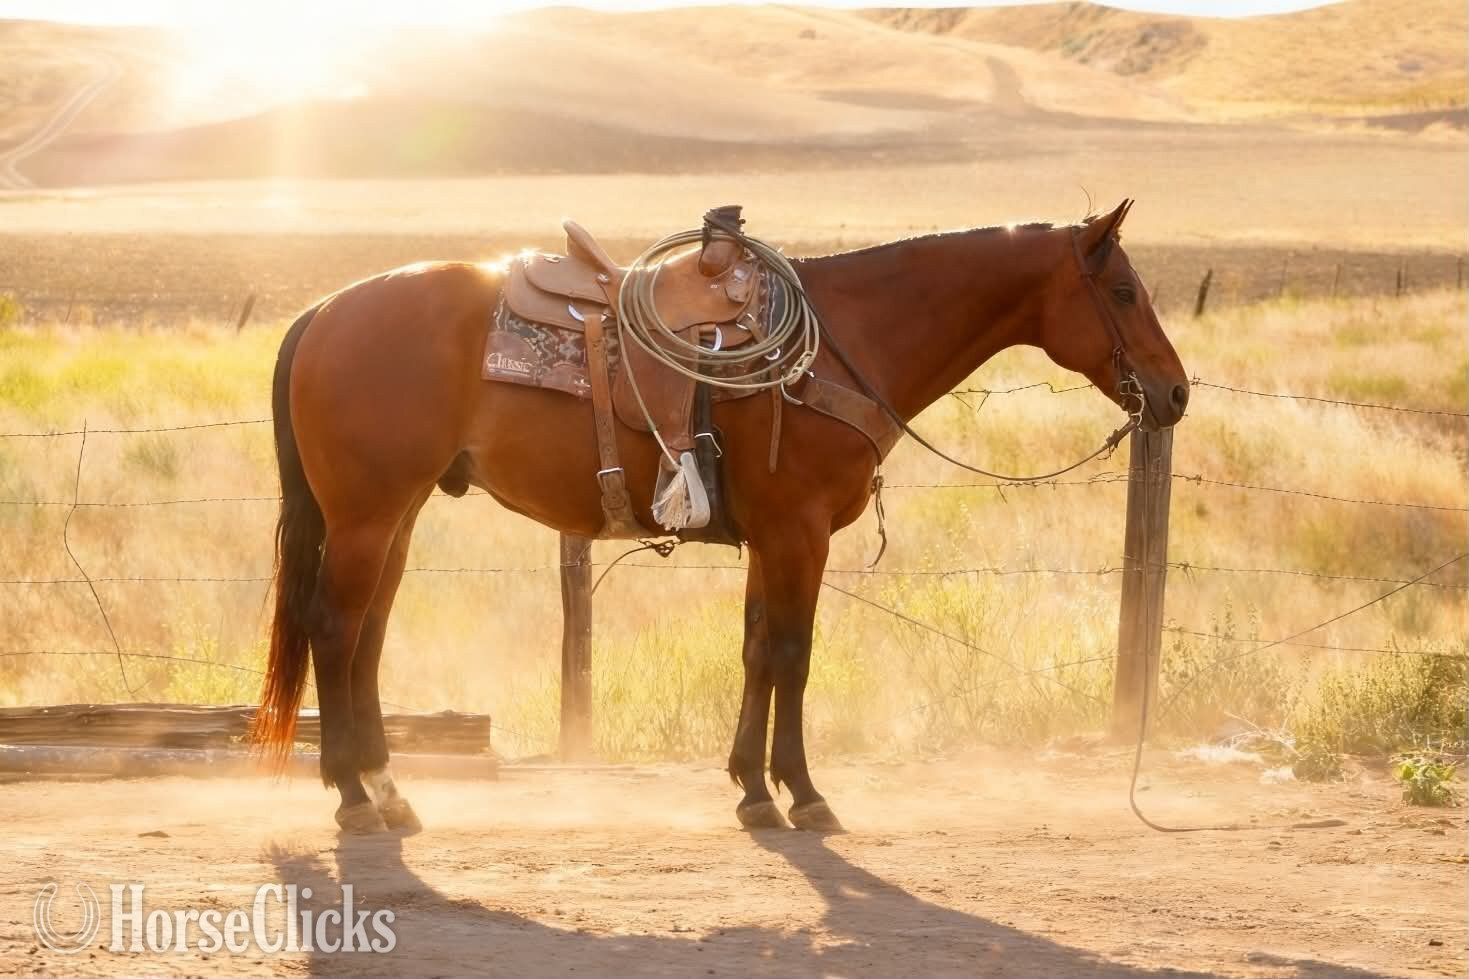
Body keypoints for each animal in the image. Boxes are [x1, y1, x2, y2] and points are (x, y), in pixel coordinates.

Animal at [250, 199, 1188, 834]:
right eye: (1121, 289)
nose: (1175, 391)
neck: (842, 341)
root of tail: (323, 311)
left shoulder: (769, 539)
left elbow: (755, 648)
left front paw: (749, 786)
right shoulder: (799, 532)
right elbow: (792, 653)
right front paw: (802, 792)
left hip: (397, 513)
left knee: (368, 635)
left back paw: (387, 788)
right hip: (367, 514)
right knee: (334, 628)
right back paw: (350, 796)